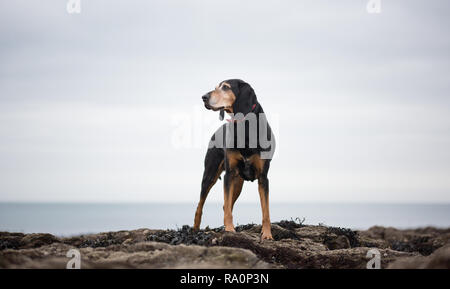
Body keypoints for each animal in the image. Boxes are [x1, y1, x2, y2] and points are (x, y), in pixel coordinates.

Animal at [193, 78, 274, 238]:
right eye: (216, 87)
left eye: (225, 87)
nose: (204, 97)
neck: (245, 127)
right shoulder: (229, 174)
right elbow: (226, 206)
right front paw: (229, 229)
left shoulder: (263, 177)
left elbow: (266, 211)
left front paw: (267, 234)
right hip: (210, 174)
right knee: (201, 204)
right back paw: (195, 230)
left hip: (238, 183)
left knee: (226, 205)